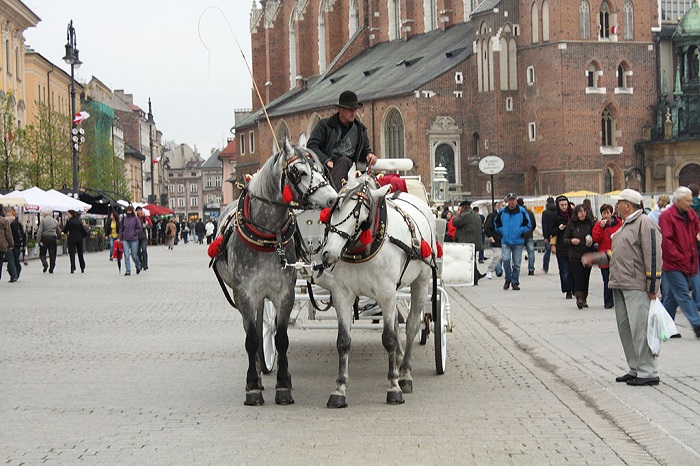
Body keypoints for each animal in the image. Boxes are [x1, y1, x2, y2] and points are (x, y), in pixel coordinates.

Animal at [314, 169, 434, 406]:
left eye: (357, 215)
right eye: (334, 208)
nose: (328, 254)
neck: (361, 249)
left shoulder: (386, 294)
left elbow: (388, 339)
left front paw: (394, 387)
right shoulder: (342, 295)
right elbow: (344, 341)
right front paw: (339, 389)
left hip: (421, 281)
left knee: (412, 325)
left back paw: (405, 374)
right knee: (397, 324)